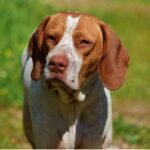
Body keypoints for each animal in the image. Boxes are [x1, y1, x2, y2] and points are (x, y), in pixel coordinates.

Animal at [21, 12, 129, 149]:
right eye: (50, 37)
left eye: (84, 42)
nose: (56, 63)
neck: (73, 101)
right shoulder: (47, 142)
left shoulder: (92, 142)